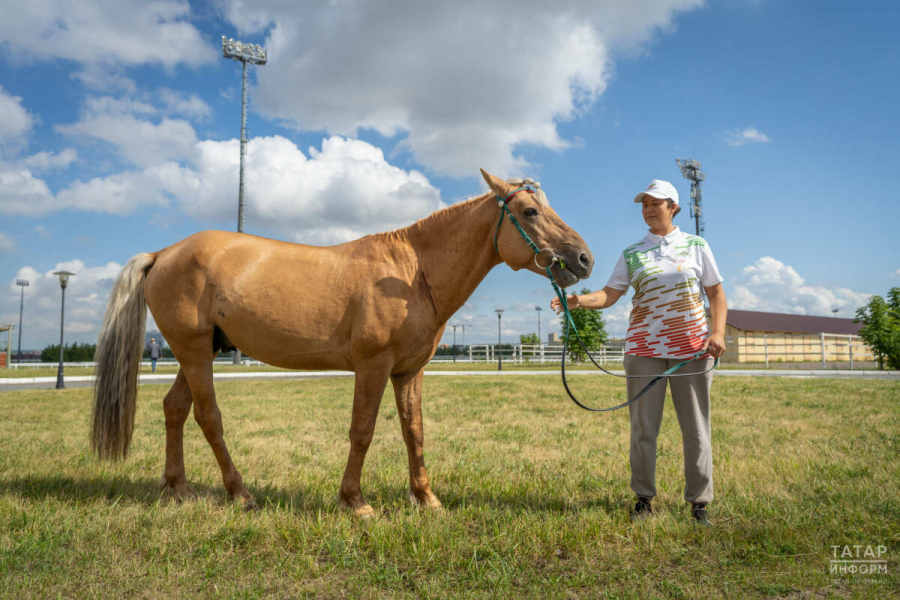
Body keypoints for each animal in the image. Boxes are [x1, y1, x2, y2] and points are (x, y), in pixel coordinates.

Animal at [91, 169, 593, 517]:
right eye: (530, 212)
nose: (584, 258)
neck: (412, 273)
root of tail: (163, 253)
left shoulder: (408, 372)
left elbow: (414, 431)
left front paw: (426, 498)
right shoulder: (372, 366)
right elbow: (363, 430)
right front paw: (355, 501)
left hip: (195, 351)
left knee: (174, 409)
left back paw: (178, 487)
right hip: (195, 352)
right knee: (207, 416)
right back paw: (240, 493)